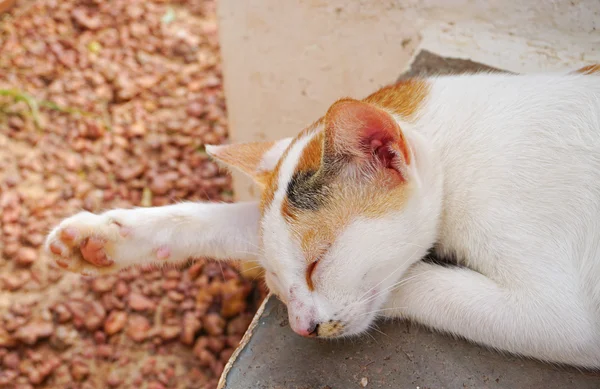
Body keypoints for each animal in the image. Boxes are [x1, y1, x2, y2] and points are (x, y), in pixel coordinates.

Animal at [44, 66, 600, 366]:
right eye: (278, 275)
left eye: (318, 264)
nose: (300, 327)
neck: (458, 146)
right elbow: (220, 220)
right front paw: (100, 237)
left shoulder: (560, 315)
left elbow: (414, 282)